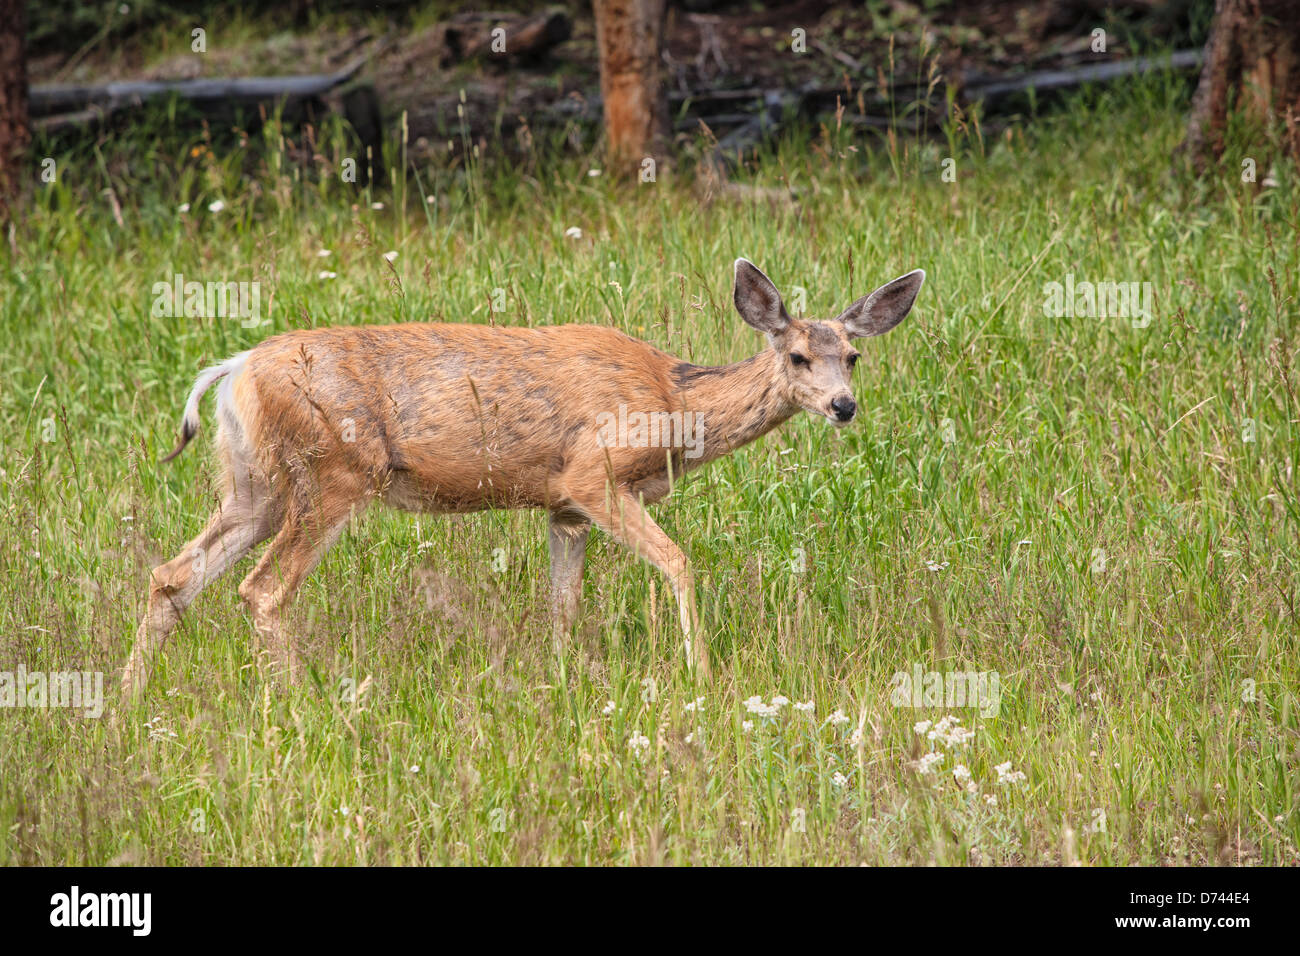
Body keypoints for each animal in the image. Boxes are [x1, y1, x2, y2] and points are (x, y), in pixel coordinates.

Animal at [116, 261, 920, 702]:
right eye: (797, 356)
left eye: (853, 356)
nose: (844, 406)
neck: (673, 400)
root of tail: (235, 369)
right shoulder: (593, 474)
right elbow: (679, 561)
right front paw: (701, 673)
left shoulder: (561, 507)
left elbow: (562, 605)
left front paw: (560, 683)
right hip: (336, 471)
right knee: (262, 590)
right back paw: (301, 702)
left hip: (253, 482)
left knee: (172, 575)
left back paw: (125, 702)